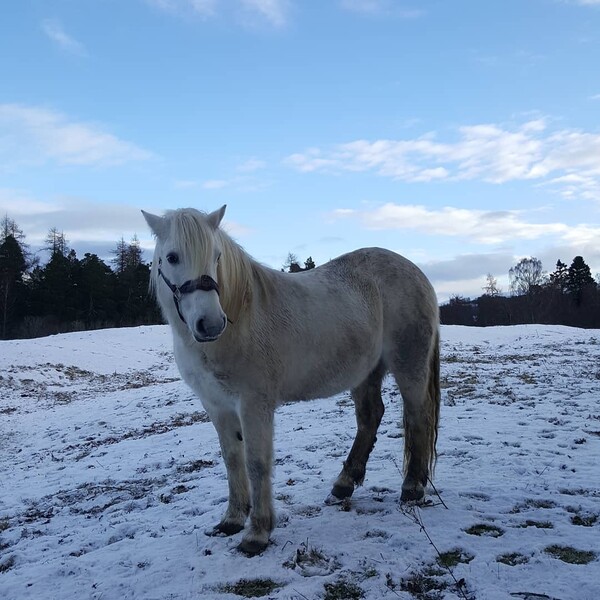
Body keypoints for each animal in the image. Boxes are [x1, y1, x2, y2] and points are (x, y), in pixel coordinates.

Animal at [142, 205, 438, 552]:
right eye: (172, 257)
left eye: (216, 256)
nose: (211, 324)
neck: (242, 317)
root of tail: (417, 272)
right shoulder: (216, 406)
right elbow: (232, 459)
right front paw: (231, 520)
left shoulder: (254, 404)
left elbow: (256, 462)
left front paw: (257, 532)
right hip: (366, 371)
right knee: (370, 417)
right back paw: (343, 485)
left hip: (409, 365)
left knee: (418, 417)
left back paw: (412, 489)